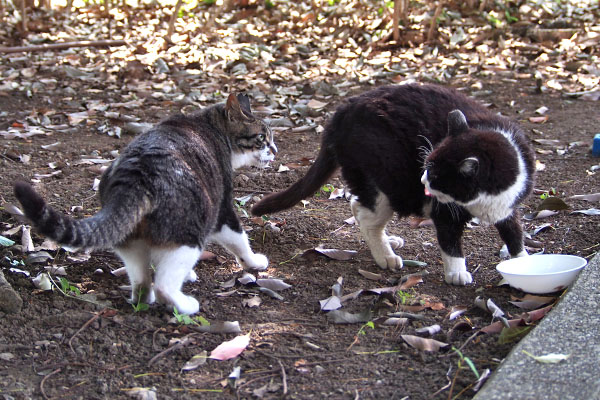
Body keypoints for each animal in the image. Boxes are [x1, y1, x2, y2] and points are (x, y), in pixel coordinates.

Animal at [14, 93, 276, 312]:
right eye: (262, 138)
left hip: (129, 239)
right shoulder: (221, 209)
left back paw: (143, 298)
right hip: (190, 230)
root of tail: (136, 176)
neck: (210, 126)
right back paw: (185, 305)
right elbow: (239, 239)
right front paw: (254, 262)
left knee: (141, 279)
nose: (274, 150)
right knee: (164, 285)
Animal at [250, 84, 536, 284]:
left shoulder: (508, 207)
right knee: (367, 217)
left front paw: (523, 260)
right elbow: (451, 243)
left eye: (435, 174)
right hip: (389, 182)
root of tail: (343, 110)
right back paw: (385, 256)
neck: (484, 200)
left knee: (358, 206)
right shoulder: (444, 211)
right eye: (426, 164)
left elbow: (515, 233)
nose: (422, 179)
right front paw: (456, 273)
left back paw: (389, 241)